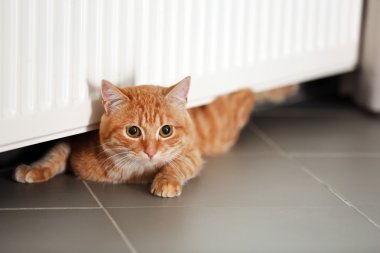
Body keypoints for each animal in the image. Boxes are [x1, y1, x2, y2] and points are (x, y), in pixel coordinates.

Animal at [15, 77, 258, 198]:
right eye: (133, 131)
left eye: (166, 130)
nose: (150, 151)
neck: (131, 172)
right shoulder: (76, 141)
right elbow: (56, 152)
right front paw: (34, 169)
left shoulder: (192, 154)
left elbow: (177, 164)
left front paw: (166, 181)